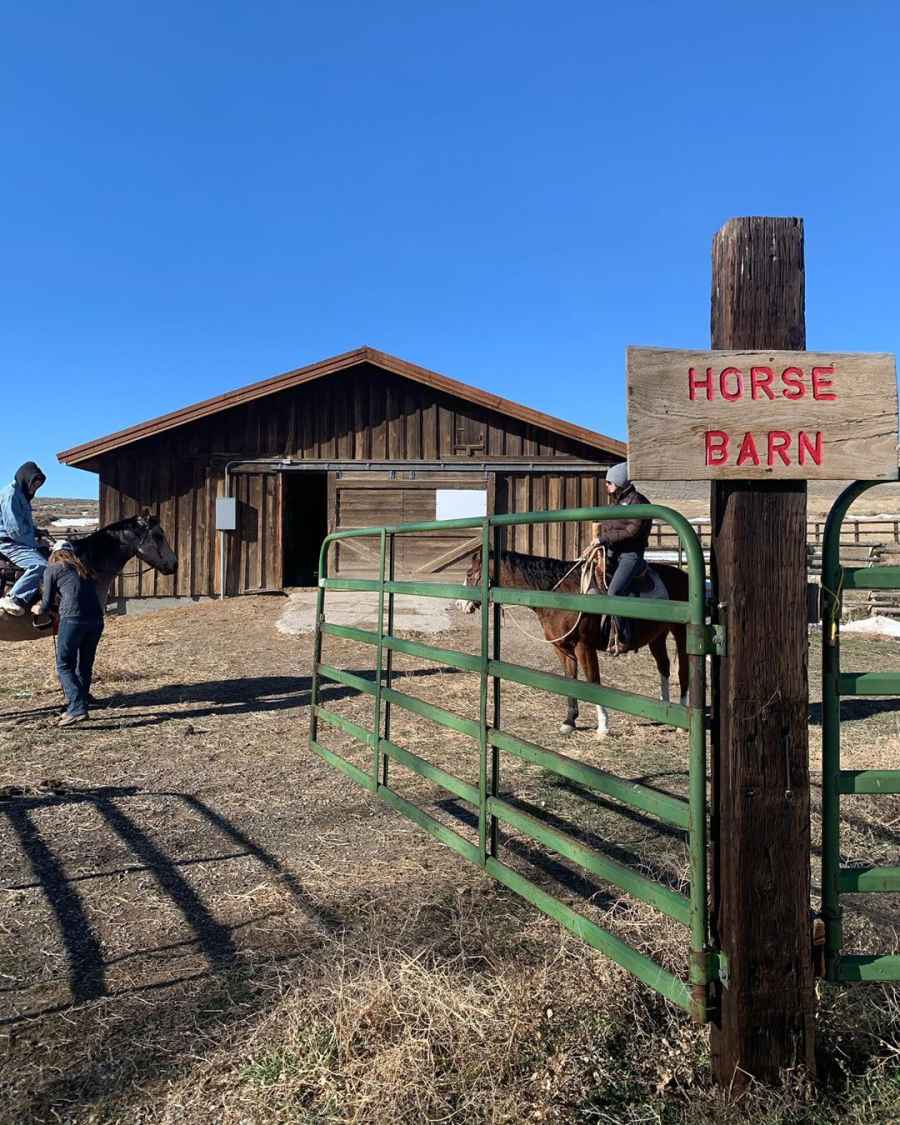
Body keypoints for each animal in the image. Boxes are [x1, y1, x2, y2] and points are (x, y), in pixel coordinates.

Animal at [463, 551, 688, 742]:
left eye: (469, 572)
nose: (461, 604)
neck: (561, 595)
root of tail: (683, 575)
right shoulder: (562, 648)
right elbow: (570, 679)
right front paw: (569, 722)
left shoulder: (583, 646)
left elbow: (593, 681)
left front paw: (603, 726)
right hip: (657, 637)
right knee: (664, 666)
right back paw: (665, 710)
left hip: (681, 635)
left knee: (683, 671)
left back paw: (682, 722)